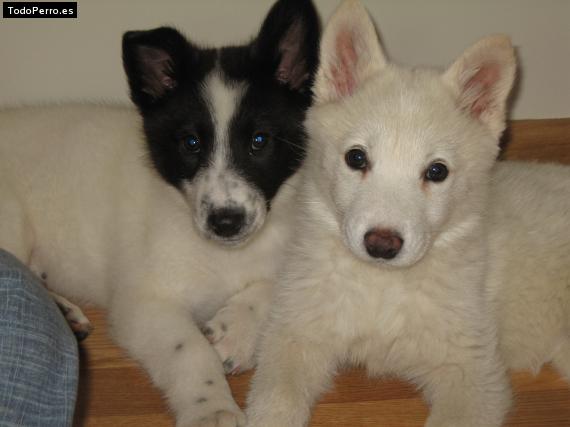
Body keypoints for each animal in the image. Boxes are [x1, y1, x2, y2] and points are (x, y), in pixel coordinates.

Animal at [0, 1, 318, 426]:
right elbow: (191, 351)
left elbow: (273, 284)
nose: (226, 222)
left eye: (259, 141)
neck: (225, 254)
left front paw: (236, 331)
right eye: (191, 143)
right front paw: (212, 409)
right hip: (11, 220)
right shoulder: (144, 302)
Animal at [245, 0, 568, 427]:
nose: (382, 245)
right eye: (356, 158)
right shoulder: (294, 333)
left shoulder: (473, 372)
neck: (382, 287)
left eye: (437, 172)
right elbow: (274, 402)